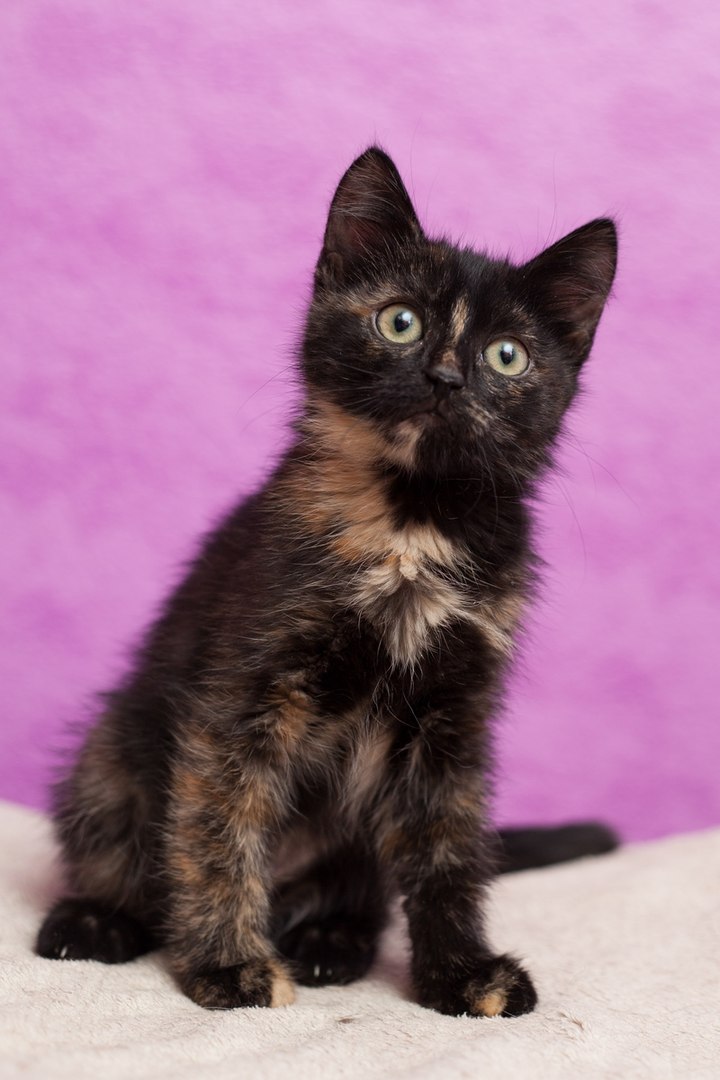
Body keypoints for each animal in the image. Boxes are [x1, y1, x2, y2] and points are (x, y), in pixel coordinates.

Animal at [36, 147, 617, 1017]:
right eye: (399, 322)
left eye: (506, 355)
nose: (446, 377)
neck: (410, 519)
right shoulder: (245, 690)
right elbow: (219, 824)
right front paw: (226, 965)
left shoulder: (453, 718)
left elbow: (447, 849)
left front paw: (460, 973)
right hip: (109, 749)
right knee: (125, 852)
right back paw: (95, 921)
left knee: (363, 887)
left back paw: (329, 942)